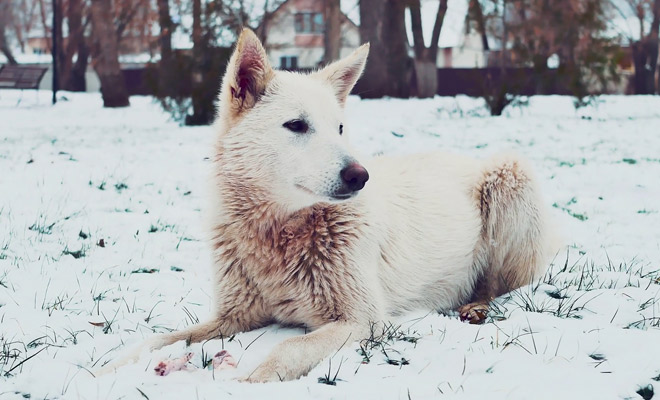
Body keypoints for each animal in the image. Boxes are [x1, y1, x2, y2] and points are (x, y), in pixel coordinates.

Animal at [100, 28, 560, 384]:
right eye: (297, 125)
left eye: (339, 128)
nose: (359, 175)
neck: (278, 232)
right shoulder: (233, 316)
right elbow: (159, 338)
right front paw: (107, 370)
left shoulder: (361, 320)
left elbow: (287, 349)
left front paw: (247, 384)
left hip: (509, 176)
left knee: (499, 286)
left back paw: (475, 307)